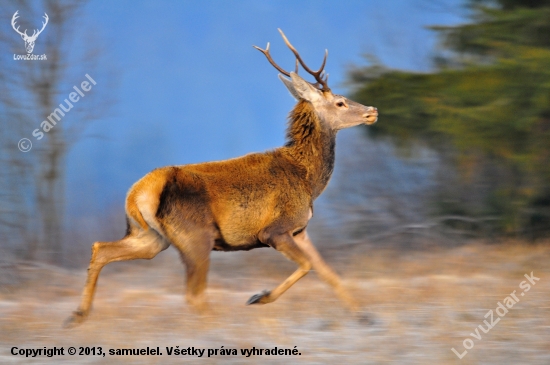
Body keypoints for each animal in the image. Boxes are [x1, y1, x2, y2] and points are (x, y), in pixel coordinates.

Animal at [64, 29, 380, 328]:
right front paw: (259, 297)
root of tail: (139, 192)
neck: (309, 180)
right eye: (340, 103)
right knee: (194, 294)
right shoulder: (275, 229)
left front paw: (365, 317)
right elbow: (306, 266)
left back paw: (77, 315)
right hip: (196, 235)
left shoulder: (301, 230)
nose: (372, 111)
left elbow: (328, 272)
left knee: (101, 249)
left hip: (150, 237)